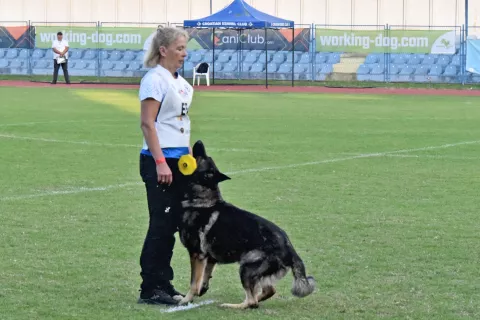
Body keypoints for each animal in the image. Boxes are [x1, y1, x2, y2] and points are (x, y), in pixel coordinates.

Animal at [176, 141, 316, 308]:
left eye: (201, 156)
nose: (199, 142)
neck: (202, 199)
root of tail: (290, 249)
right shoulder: (210, 259)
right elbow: (204, 277)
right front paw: (201, 290)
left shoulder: (197, 254)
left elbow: (193, 282)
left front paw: (186, 299)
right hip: (257, 273)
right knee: (267, 292)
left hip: (245, 268)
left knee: (251, 301)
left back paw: (231, 306)